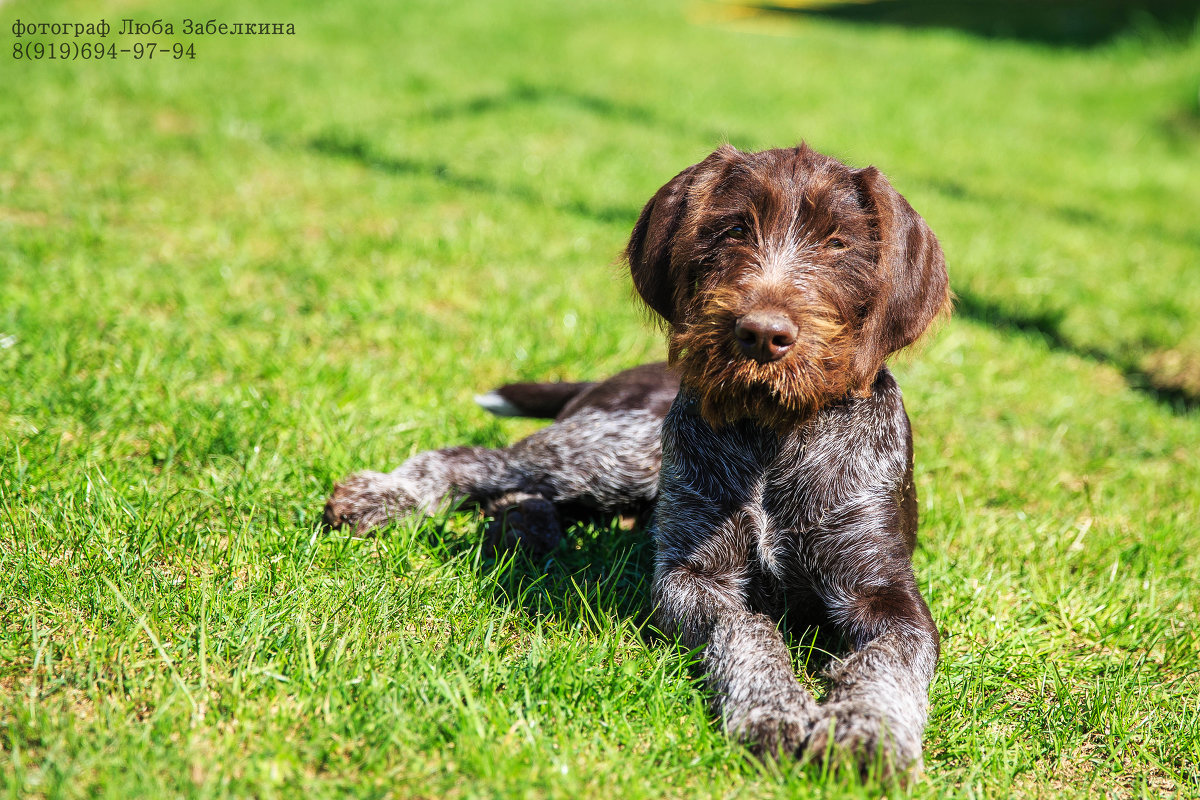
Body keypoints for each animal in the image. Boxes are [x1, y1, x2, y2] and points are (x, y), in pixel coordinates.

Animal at [324, 142, 950, 777]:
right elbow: (745, 628)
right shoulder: (690, 576)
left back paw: (522, 527)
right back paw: (388, 497)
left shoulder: (885, 594)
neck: (774, 437)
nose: (762, 334)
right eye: (732, 228)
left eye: (837, 243)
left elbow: (891, 660)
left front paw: (867, 732)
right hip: (616, 451)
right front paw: (774, 710)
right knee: (478, 458)